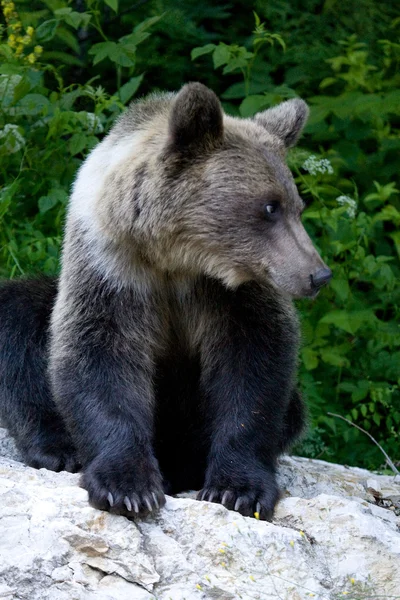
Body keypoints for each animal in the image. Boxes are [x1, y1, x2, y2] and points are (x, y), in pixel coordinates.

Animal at [0, 83, 332, 520]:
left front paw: (237, 489)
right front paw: (127, 487)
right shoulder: (112, 269)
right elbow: (98, 355)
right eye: (269, 206)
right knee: (19, 324)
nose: (318, 274)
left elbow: (254, 365)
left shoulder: (236, 294)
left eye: (297, 206)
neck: (177, 259)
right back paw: (60, 450)